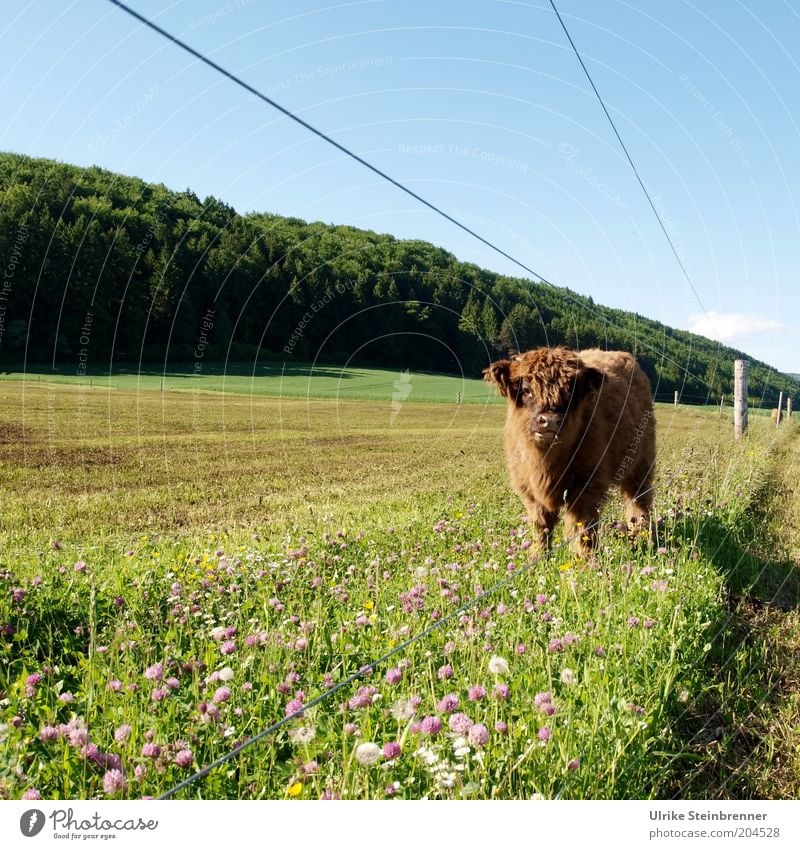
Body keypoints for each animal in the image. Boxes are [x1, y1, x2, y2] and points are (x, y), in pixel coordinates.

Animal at [484, 346, 652, 556]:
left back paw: (641, 537)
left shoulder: (587, 488)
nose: (549, 421)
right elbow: (541, 527)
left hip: (641, 464)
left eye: (570, 392)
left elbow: (582, 529)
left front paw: (586, 560)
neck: (545, 463)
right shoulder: (530, 492)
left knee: (639, 502)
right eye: (526, 390)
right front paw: (538, 556)